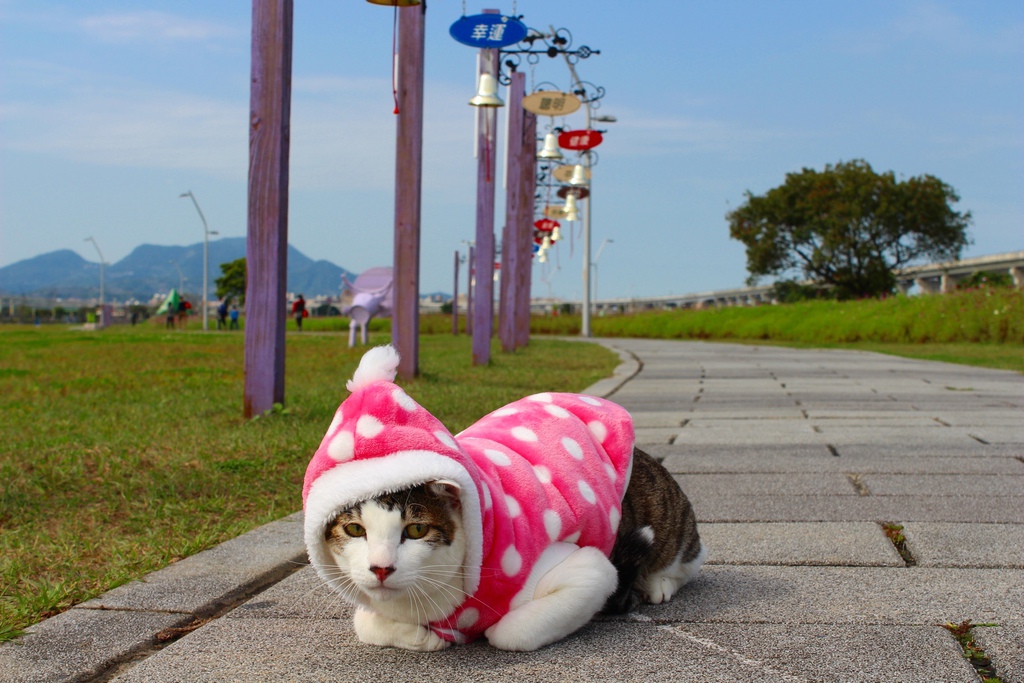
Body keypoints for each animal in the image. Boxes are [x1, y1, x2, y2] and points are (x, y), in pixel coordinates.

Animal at [321, 446, 704, 651]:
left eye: (416, 530)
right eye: (355, 529)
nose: (381, 568)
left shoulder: (591, 569)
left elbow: (510, 633)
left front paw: (486, 631)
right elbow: (364, 622)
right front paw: (423, 637)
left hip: (669, 520)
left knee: (687, 560)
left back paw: (658, 584)